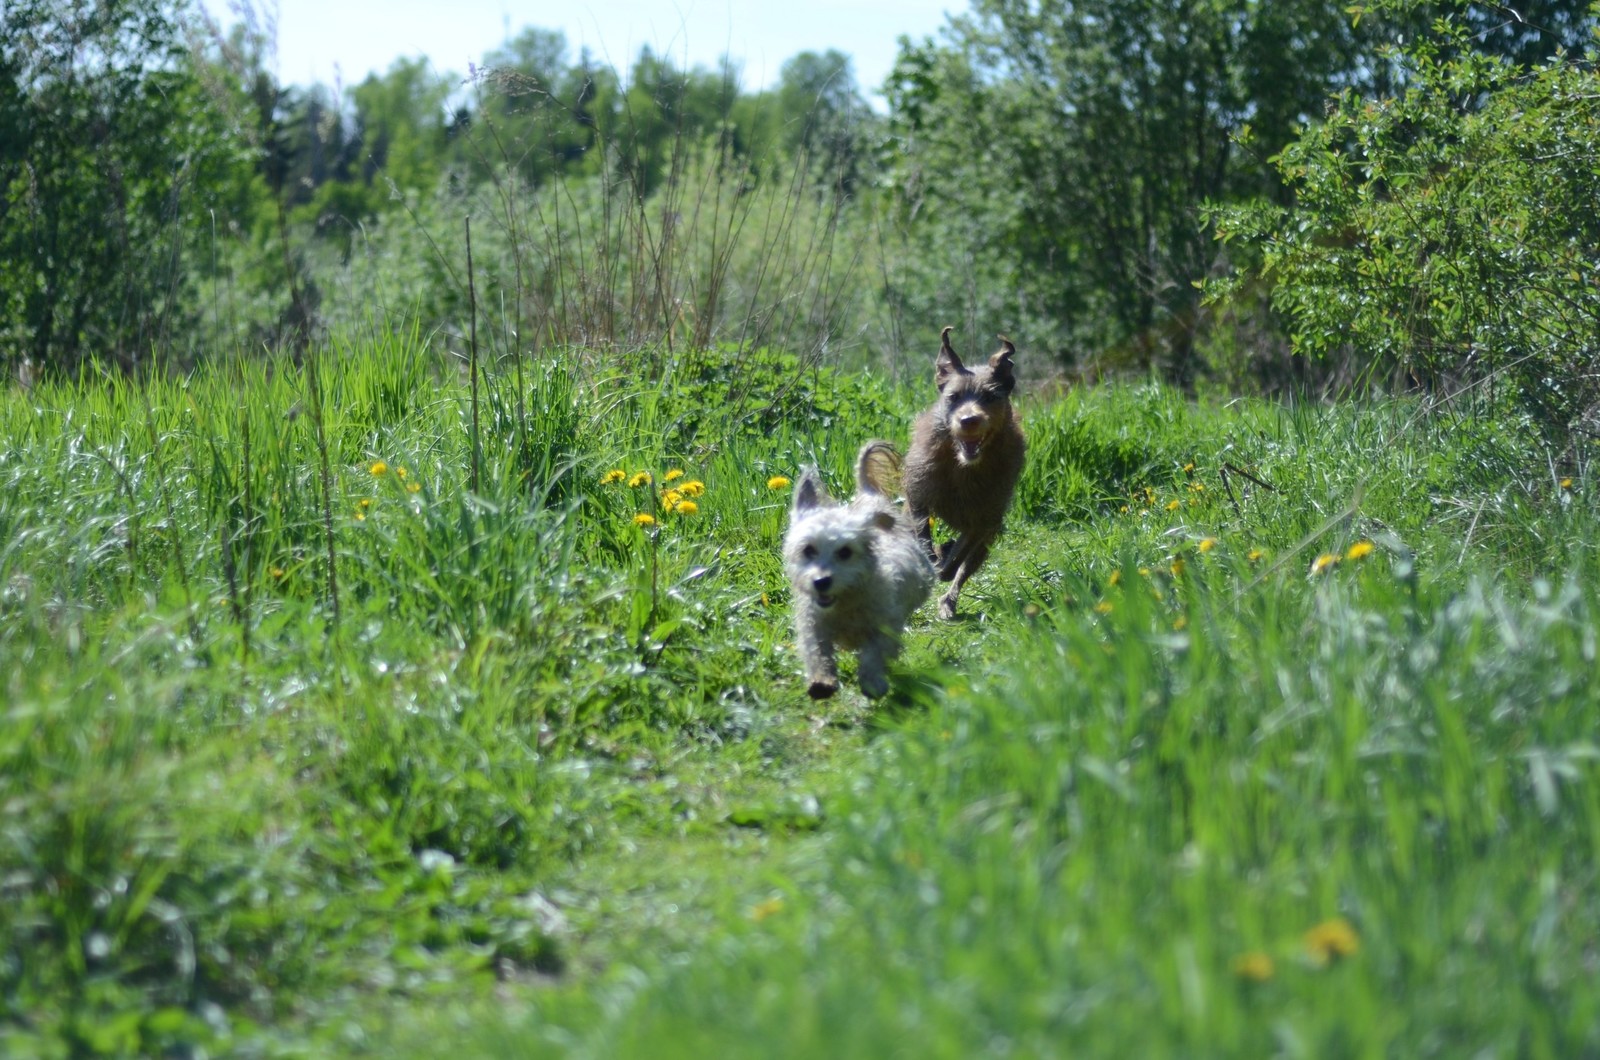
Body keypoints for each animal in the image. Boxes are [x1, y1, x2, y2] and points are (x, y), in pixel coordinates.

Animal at [780, 438, 934, 698]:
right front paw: (822, 681)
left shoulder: (884, 627)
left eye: (845, 552)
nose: (821, 581)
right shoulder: (814, 626)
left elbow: (874, 653)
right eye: (808, 550)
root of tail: (870, 497)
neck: (845, 601)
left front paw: (872, 681)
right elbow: (817, 652)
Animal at [902, 328, 1024, 618]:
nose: (969, 420)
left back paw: (948, 601)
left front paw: (943, 561)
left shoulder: (982, 522)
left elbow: (955, 561)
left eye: (990, 397)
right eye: (954, 397)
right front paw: (932, 554)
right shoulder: (917, 495)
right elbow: (922, 530)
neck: (963, 466)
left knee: (961, 570)